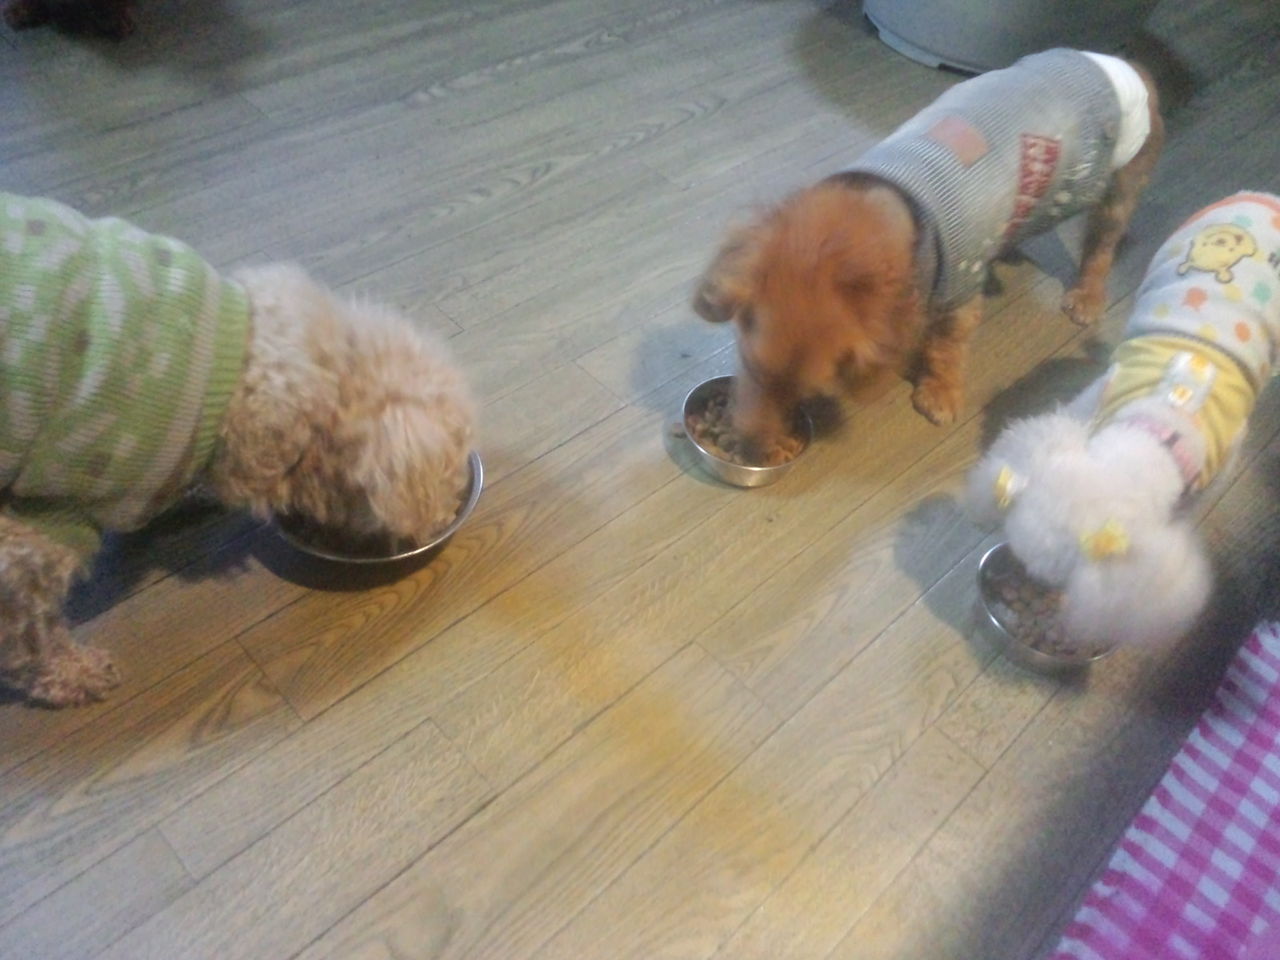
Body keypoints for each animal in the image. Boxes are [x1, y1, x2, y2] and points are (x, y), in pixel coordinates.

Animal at [693, 49, 1164, 445]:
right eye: (749, 367)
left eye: (803, 395)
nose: (748, 444)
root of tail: (1129, 67)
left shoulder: (959, 293)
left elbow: (945, 349)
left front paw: (940, 393)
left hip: (1118, 191)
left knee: (1101, 249)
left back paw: (1086, 296)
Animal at [966, 192, 1280, 649]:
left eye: (1051, 581)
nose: (1020, 586)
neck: (1155, 431)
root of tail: (1261, 197)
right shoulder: (1091, 404)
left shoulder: (1222, 462)